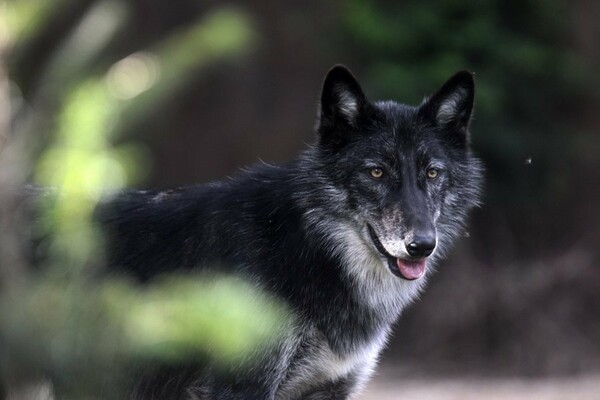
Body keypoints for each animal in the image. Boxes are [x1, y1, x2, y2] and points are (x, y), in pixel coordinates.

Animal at [96, 65, 486, 396]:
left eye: (432, 173)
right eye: (376, 172)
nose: (421, 245)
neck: (308, 246)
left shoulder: (331, 387)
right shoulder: (239, 389)